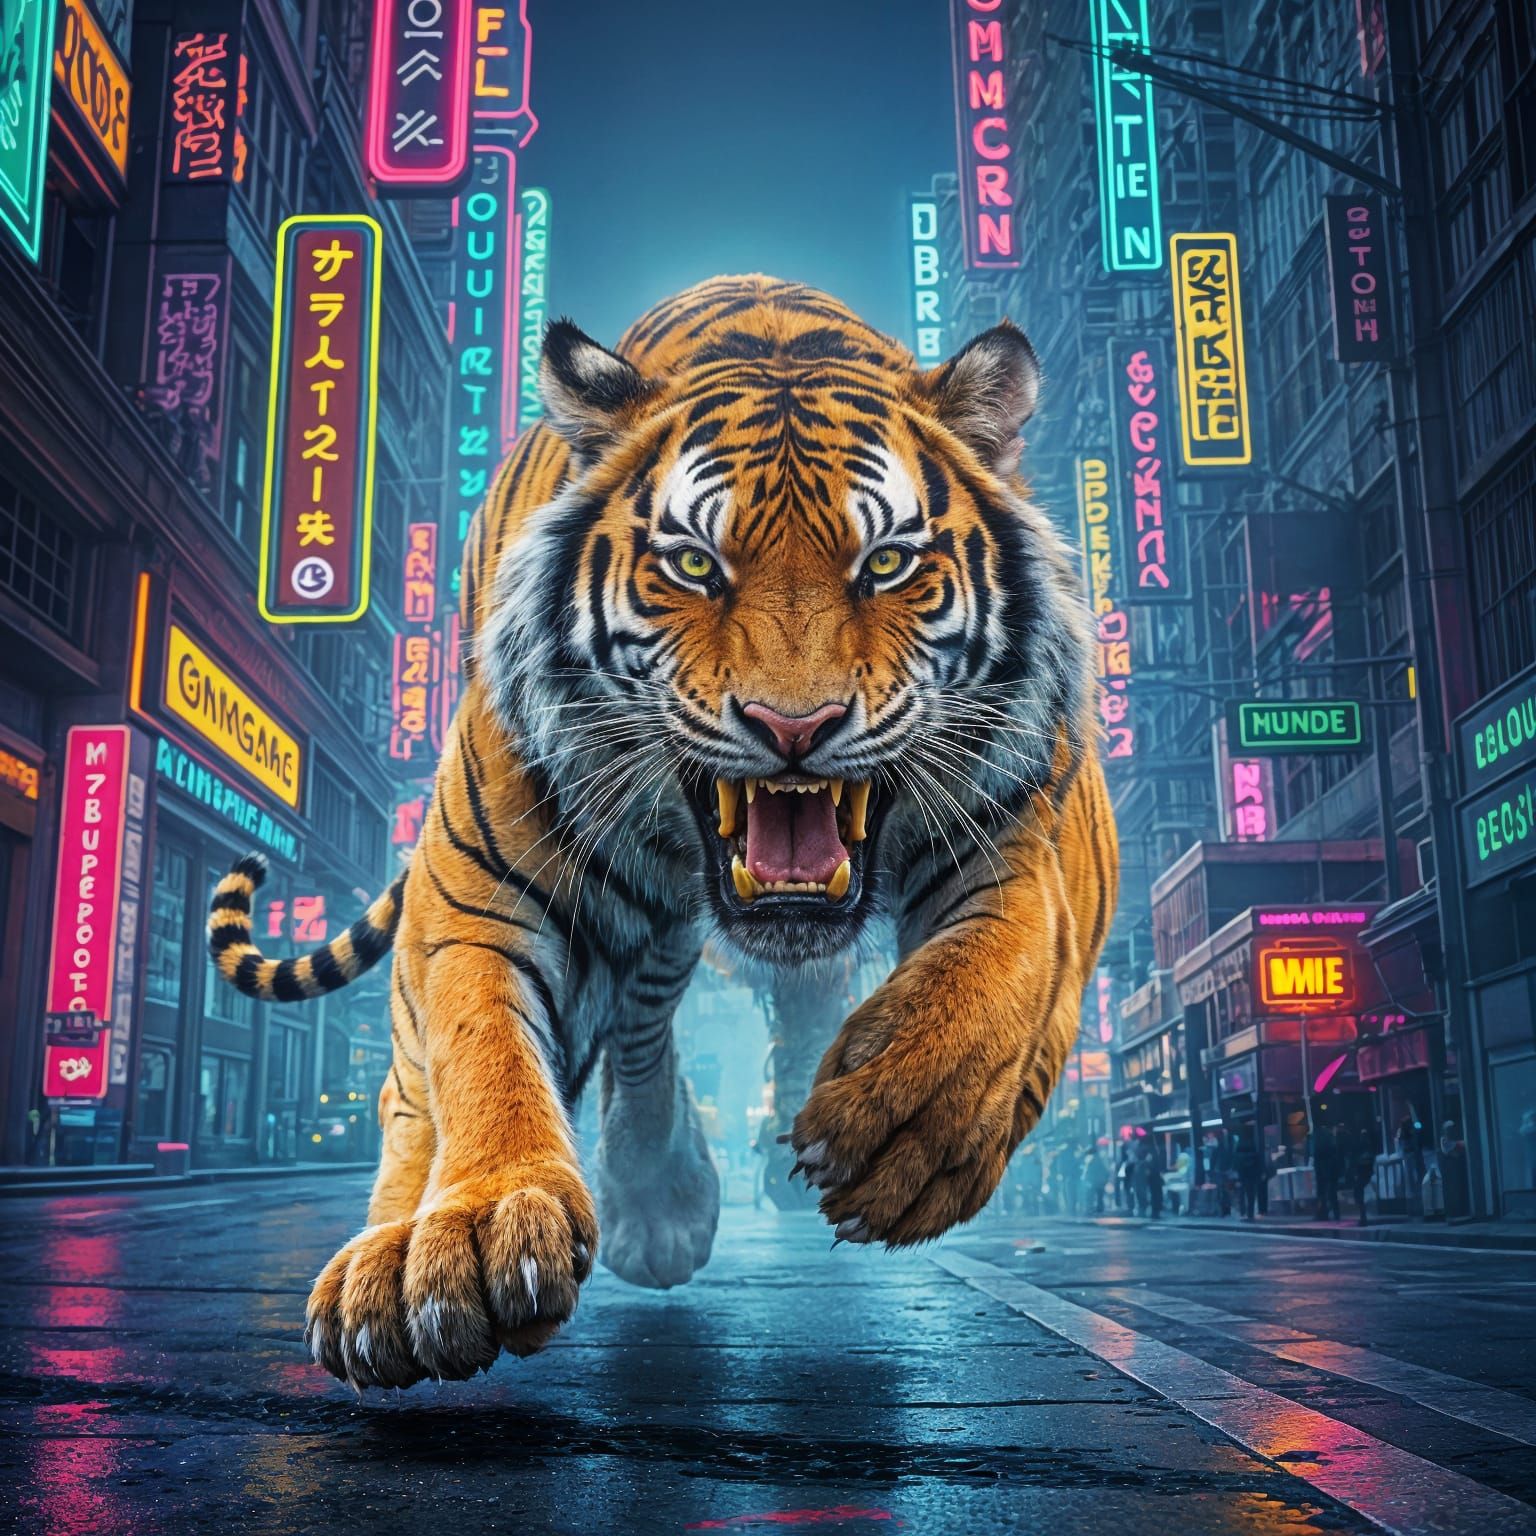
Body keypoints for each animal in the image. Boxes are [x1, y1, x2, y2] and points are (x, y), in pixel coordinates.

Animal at [208, 275, 1117, 1390]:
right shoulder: (474, 890)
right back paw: (410, 1253)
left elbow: (1002, 969)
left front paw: (899, 1128)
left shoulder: (1039, 834)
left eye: (888, 563)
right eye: (692, 563)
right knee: (429, 1079)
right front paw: (475, 1228)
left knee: (670, 1022)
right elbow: (479, 1047)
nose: (793, 726)